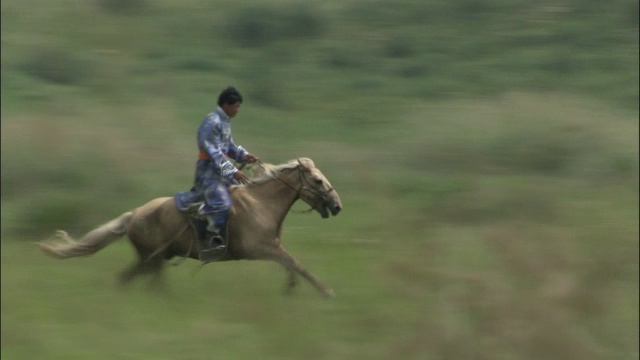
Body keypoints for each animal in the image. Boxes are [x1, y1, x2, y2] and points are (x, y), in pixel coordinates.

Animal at [38, 158, 342, 298]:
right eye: (317, 180)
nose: (337, 205)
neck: (261, 203)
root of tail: (135, 214)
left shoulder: (271, 248)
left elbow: (292, 264)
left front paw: (291, 289)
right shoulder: (260, 248)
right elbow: (296, 263)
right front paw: (325, 291)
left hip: (154, 259)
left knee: (133, 279)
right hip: (151, 259)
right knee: (138, 280)